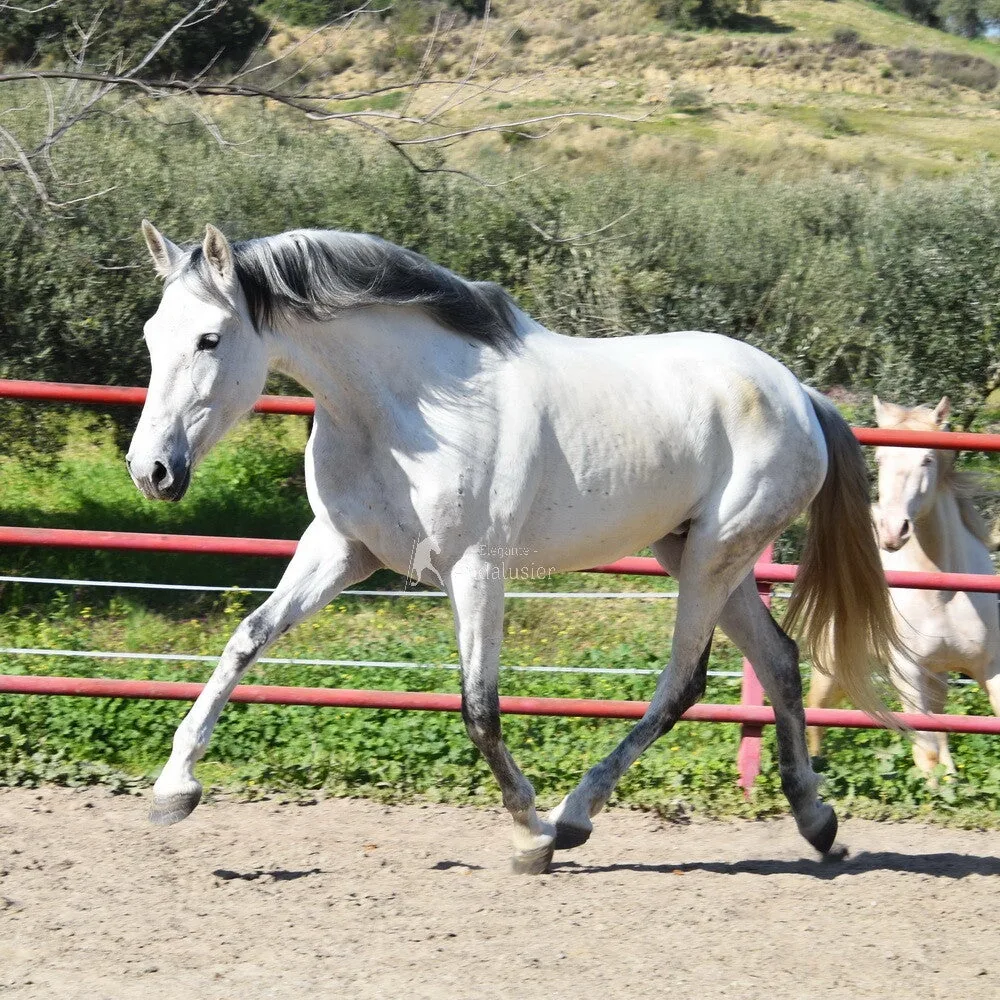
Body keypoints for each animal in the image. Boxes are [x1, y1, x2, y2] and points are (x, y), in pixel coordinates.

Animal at [128, 221, 899, 874]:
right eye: (151, 335)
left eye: (209, 340)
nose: (151, 471)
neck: (409, 407)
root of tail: (799, 393)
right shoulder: (342, 549)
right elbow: (246, 638)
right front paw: (174, 789)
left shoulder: (475, 569)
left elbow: (479, 706)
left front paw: (529, 835)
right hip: (698, 555)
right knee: (780, 661)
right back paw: (816, 822)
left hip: (714, 556)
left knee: (684, 683)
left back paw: (572, 818)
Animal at [807, 396, 1000, 779]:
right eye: (881, 458)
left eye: (927, 458)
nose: (893, 531)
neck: (944, 593)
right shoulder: (908, 672)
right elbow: (925, 752)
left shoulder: (991, 668)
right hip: (833, 665)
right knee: (814, 716)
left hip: (937, 677)